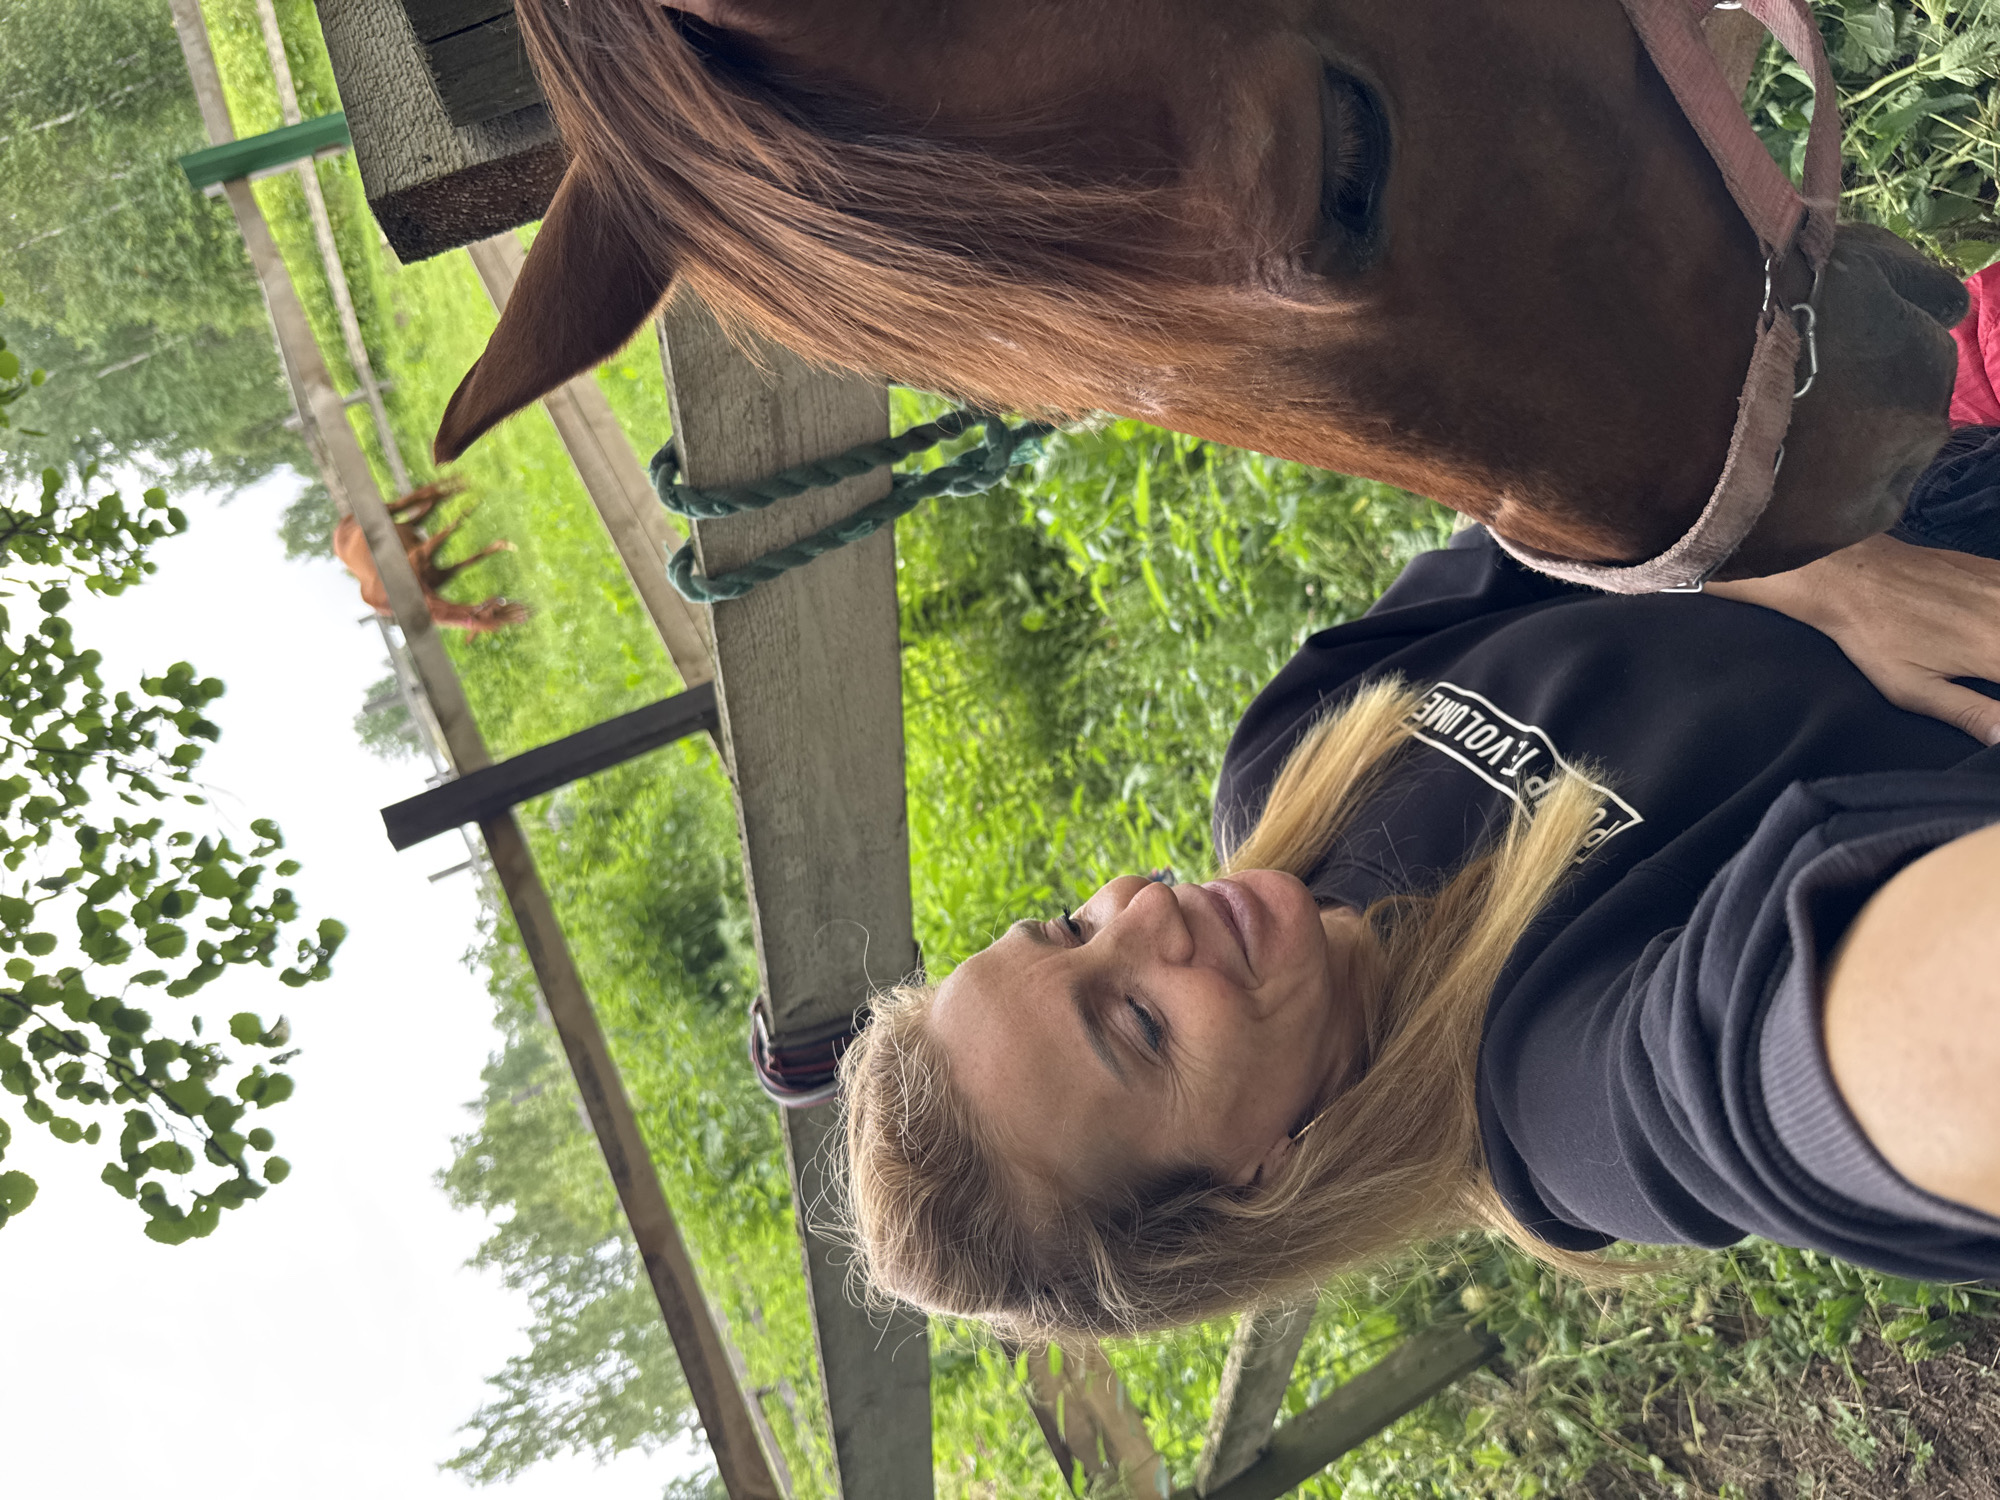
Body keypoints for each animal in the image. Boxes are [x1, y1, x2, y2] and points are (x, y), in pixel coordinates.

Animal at [331, 480, 529, 633]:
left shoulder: (428, 563)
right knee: (431, 500)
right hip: (409, 523)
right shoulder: (433, 566)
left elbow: (458, 524)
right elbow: (464, 538)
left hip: (392, 512)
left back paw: (460, 484)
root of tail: (338, 528)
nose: (524, 614)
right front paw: (505, 544)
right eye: (495, 616)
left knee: (427, 495)